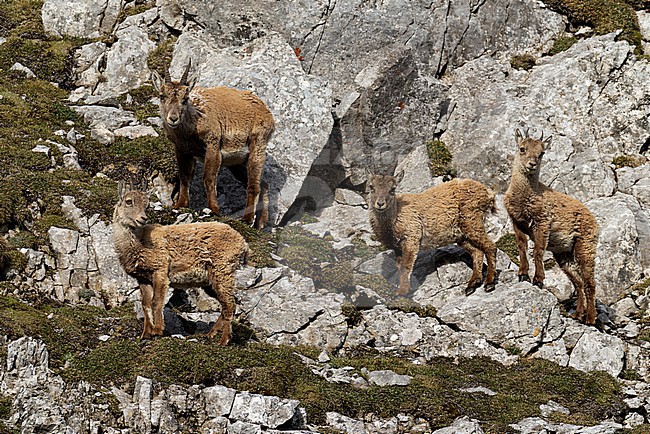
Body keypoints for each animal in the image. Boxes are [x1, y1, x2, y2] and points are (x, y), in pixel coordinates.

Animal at [112, 182, 248, 345]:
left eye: (147, 205)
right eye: (128, 201)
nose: (143, 218)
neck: (140, 243)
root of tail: (243, 242)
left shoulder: (160, 270)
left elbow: (157, 301)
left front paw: (158, 331)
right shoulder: (143, 278)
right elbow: (145, 305)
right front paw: (145, 334)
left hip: (223, 270)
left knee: (229, 304)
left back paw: (224, 340)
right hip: (210, 282)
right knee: (227, 304)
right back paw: (211, 334)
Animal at [152, 61, 275, 229]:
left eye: (185, 98)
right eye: (162, 96)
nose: (173, 118)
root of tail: (267, 112)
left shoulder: (213, 145)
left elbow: (209, 177)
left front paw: (214, 209)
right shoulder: (182, 150)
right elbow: (184, 176)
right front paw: (180, 205)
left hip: (258, 145)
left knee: (254, 185)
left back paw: (247, 219)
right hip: (237, 162)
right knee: (264, 184)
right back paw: (261, 223)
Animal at [367, 170, 497, 296]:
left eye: (392, 189)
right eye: (371, 187)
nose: (380, 204)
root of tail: (488, 193)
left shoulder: (411, 238)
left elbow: (406, 266)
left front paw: (402, 292)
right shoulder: (397, 247)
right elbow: (399, 267)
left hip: (472, 221)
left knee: (490, 246)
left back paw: (489, 283)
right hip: (461, 235)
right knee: (477, 252)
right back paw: (472, 285)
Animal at [504, 129, 599, 325]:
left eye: (542, 153)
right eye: (522, 148)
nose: (532, 164)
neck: (526, 195)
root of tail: (594, 221)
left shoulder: (542, 223)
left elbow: (537, 251)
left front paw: (538, 279)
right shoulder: (517, 222)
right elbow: (522, 246)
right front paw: (523, 274)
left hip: (585, 247)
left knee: (589, 283)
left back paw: (590, 318)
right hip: (564, 255)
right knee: (578, 283)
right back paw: (578, 314)